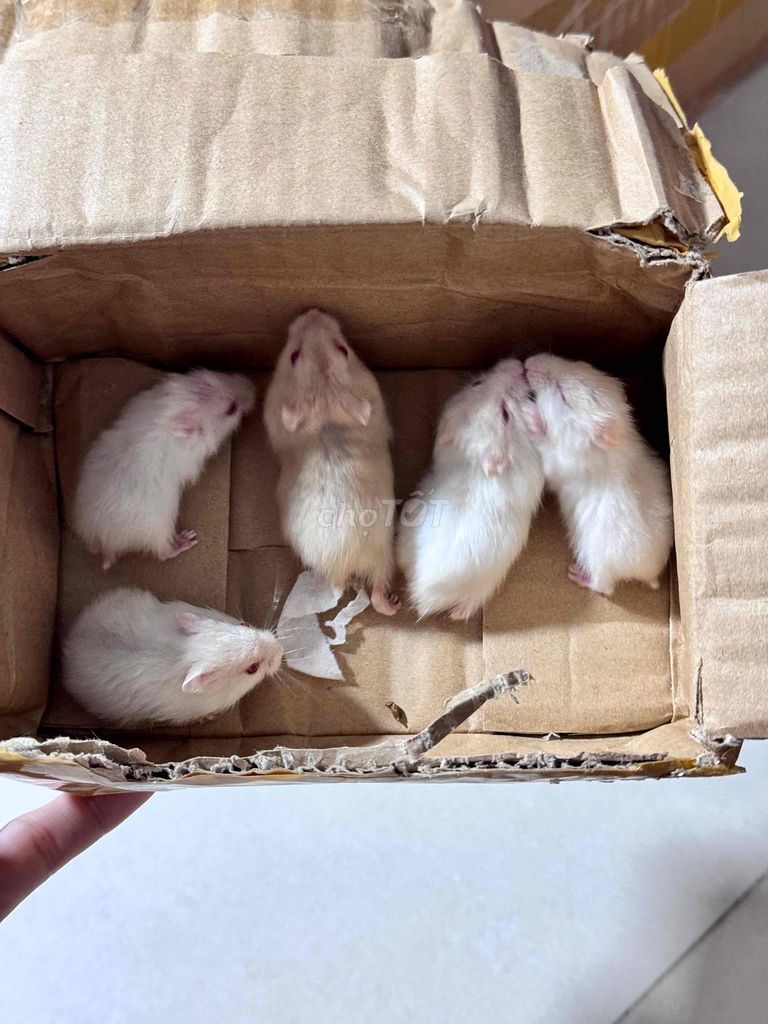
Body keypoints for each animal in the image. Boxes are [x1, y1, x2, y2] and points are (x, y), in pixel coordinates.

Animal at [63, 587, 283, 727]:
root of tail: (67, 644)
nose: (281, 650)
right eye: (253, 668)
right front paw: (208, 718)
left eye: (243, 625)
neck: (183, 654)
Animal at [73, 369, 255, 569]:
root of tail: (106, 546)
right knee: (163, 554)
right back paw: (187, 539)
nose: (254, 387)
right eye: (231, 408)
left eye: (215, 373)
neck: (167, 411)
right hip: (160, 528)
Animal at [397, 359, 545, 620]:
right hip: (483, 587)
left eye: (477, 382)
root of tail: (420, 596)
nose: (519, 365)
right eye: (505, 414)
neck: (473, 459)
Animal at [525, 353, 673, 596]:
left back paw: (578, 575)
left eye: (563, 396)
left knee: (605, 588)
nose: (527, 362)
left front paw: (531, 414)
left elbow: (548, 453)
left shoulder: (563, 464)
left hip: (598, 561)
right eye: (579, 363)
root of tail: (650, 575)